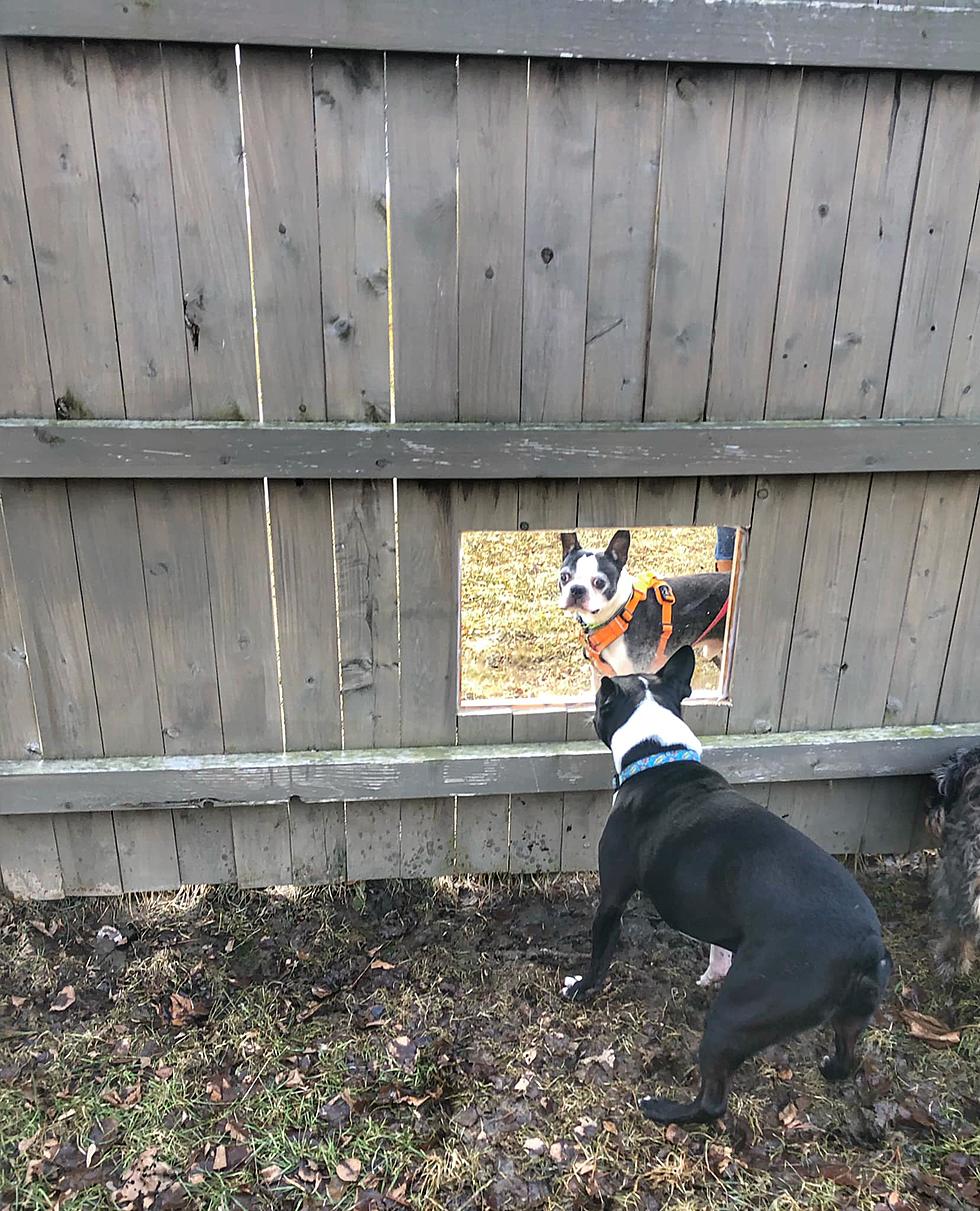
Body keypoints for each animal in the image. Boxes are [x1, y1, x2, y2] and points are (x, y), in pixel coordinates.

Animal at [562, 649, 891, 1128]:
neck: (659, 754)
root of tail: (866, 946)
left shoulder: (612, 899)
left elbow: (600, 954)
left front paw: (580, 987)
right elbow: (719, 944)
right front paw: (714, 970)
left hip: (737, 1014)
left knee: (713, 1100)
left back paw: (664, 1109)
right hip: (851, 1016)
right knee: (848, 1053)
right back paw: (831, 1066)